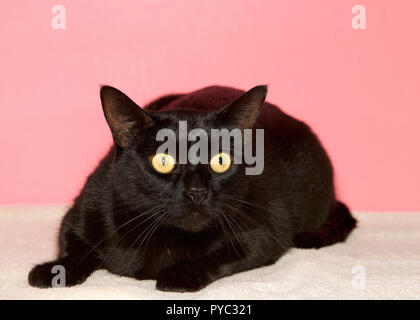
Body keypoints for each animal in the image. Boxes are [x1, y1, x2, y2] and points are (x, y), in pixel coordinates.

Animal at [27, 85, 356, 292]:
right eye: (163, 161)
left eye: (221, 161)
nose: (197, 191)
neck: (162, 237)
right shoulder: (83, 211)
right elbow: (73, 246)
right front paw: (54, 270)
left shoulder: (262, 232)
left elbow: (221, 257)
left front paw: (179, 274)